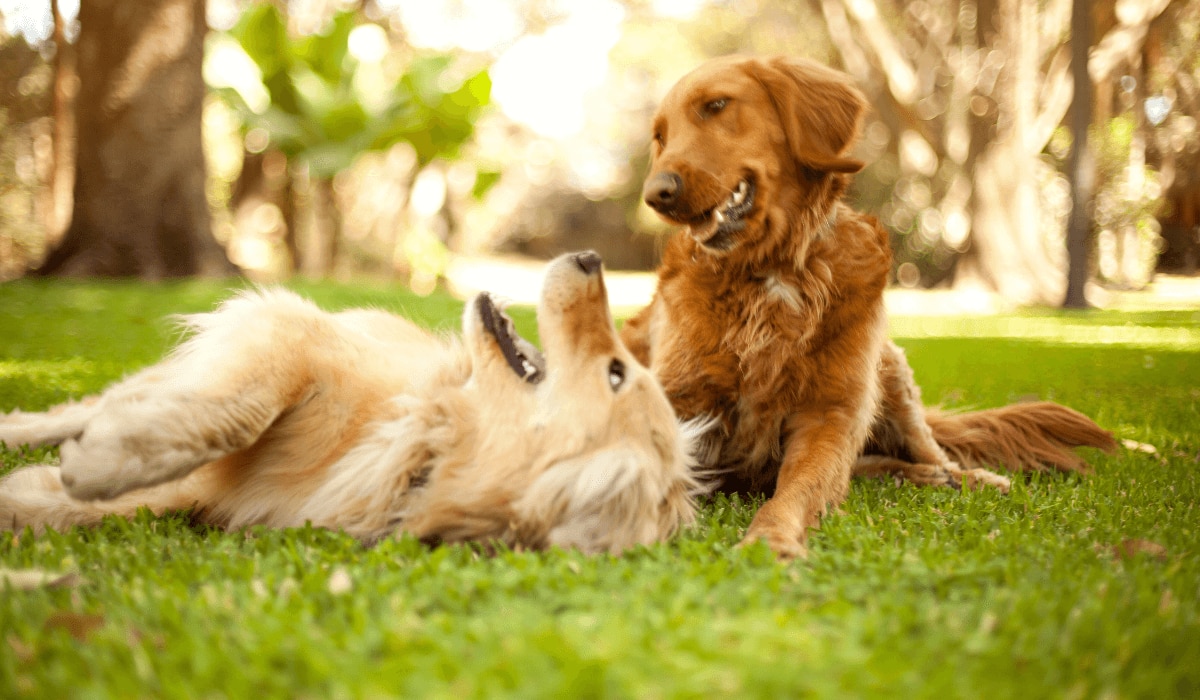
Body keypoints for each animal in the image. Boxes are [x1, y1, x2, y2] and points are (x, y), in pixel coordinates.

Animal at [0, 252, 700, 552]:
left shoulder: (214, 494)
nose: (590, 255)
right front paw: (101, 463)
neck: (422, 442)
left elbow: (85, 506)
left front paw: (46, 491)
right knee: (89, 405)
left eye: (617, 373)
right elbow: (237, 412)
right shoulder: (289, 333)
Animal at [624, 53, 1118, 559]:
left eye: (716, 105)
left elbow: (798, 489)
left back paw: (962, 477)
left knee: (927, 450)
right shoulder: (678, 399)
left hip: (890, 372)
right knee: (874, 466)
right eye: (660, 136)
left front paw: (770, 539)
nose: (656, 194)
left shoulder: (831, 414)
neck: (771, 271)